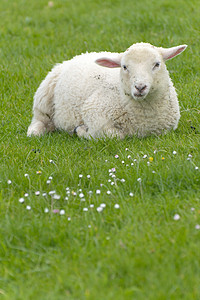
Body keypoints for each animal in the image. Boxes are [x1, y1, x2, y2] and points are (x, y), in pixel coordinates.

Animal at [27, 42, 188, 139]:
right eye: (124, 67)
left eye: (157, 64)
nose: (140, 87)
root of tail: (79, 55)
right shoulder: (94, 113)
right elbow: (115, 136)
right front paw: (80, 131)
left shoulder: (167, 129)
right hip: (43, 97)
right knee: (39, 119)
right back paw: (35, 132)